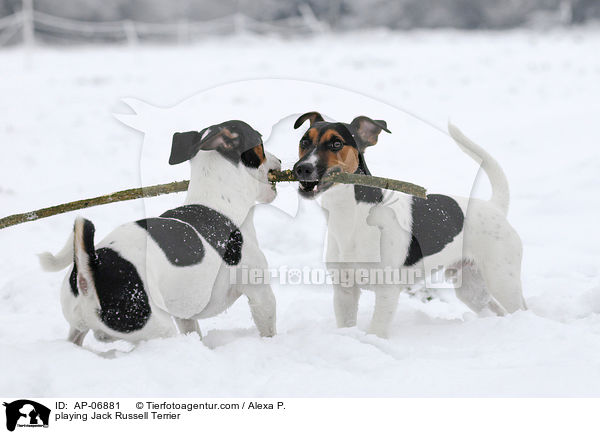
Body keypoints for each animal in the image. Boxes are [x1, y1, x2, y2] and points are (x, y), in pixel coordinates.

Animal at [41, 118, 282, 346]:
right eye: (260, 142)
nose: (279, 160)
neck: (220, 202)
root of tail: (90, 272)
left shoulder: (185, 315)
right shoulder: (260, 292)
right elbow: (268, 328)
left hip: (79, 327)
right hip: (156, 327)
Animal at [290, 112, 524, 340]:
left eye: (336, 143)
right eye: (304, 141)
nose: (302, 168)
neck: (351, 214)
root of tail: (494, 207)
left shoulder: (387, 291)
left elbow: (376, 332)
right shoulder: (344, 291)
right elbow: (346, 326)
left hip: (502, 279)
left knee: (520, 308)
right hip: (471, 287)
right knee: (494, 309)